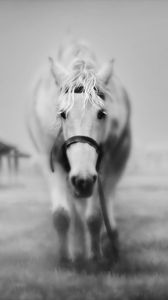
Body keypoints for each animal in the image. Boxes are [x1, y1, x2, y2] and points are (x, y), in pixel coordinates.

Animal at [27, 40, 131, 270]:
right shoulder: (49, 161)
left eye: (102, 114)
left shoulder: (104, 166)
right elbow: (62, 215)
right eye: (62, 114)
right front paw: (66, 259)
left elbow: (94, 216)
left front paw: (95, 257)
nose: (83, 180)